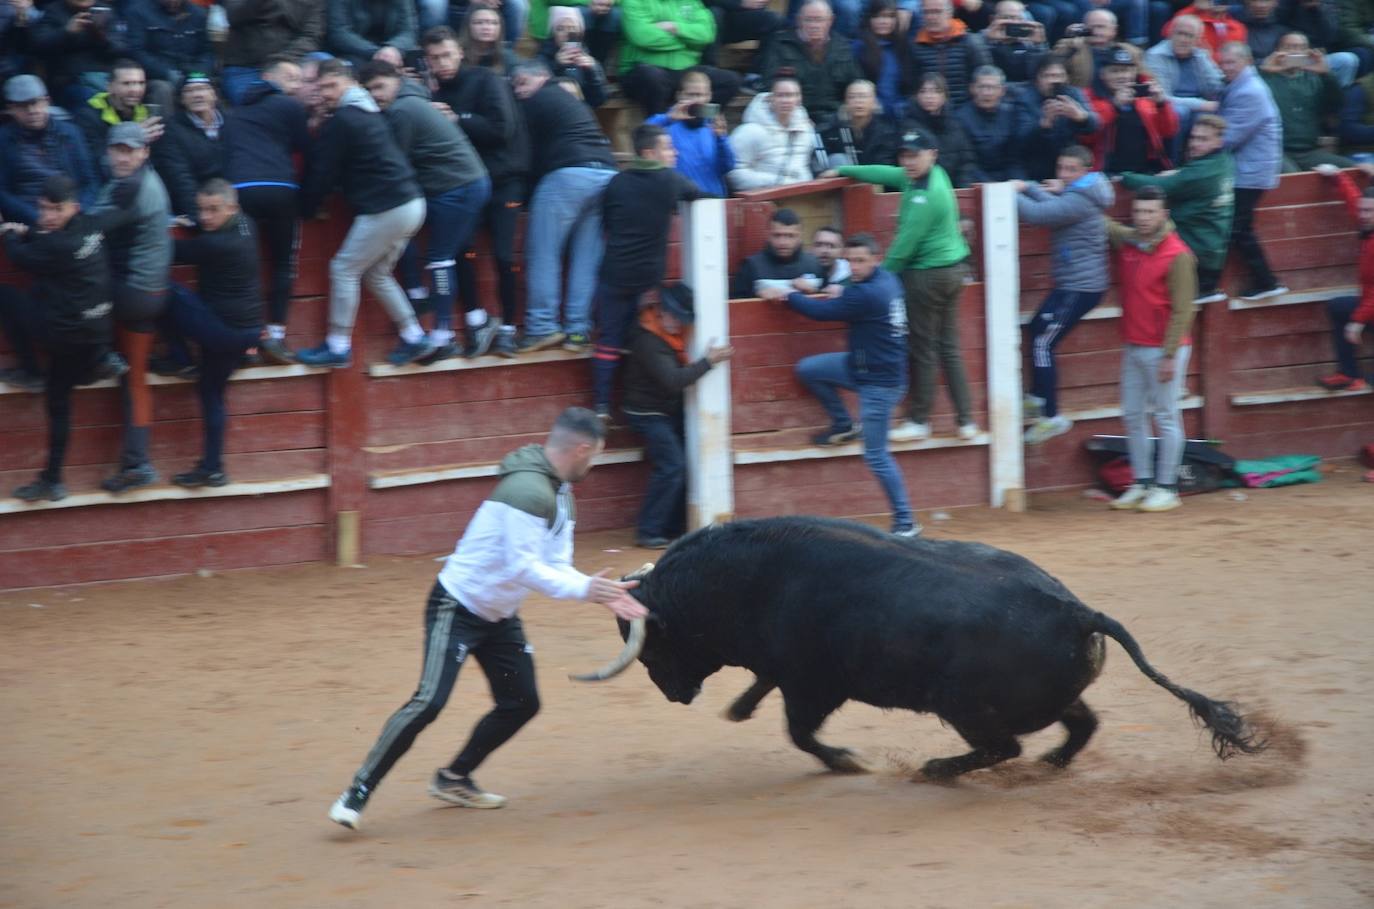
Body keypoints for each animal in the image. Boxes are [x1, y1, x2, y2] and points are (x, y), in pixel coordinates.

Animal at [571, 516, 1264, 779]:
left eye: (653, 647)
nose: (674, 693)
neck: (747, 578)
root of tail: (1077, 610)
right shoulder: (788, 672)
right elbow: (765, 689)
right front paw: (740, 708)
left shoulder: (812, 684)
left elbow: (801, 732)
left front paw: (846, 761)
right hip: (1040, 698)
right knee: (1079, 724)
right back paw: (1052, 762)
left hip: (965, 706)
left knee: (1004, 746)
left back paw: (937, 769)